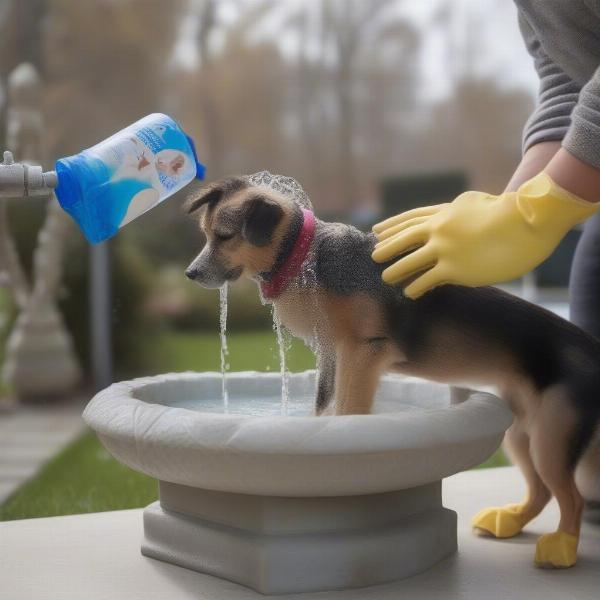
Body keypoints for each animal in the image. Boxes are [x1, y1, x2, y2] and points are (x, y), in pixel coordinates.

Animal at [186, 172, 600, 568]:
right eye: (206, 234)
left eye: (224, 236)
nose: (191, 273)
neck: (303, 258)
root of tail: (590, 347)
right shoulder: (333, 356)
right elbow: (323, 404)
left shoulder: (364, 351)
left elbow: (349, 408)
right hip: (520, 432)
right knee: (542, 490)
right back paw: (510, 519)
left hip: (552, 434)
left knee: (572, 497)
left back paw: (561, 547)